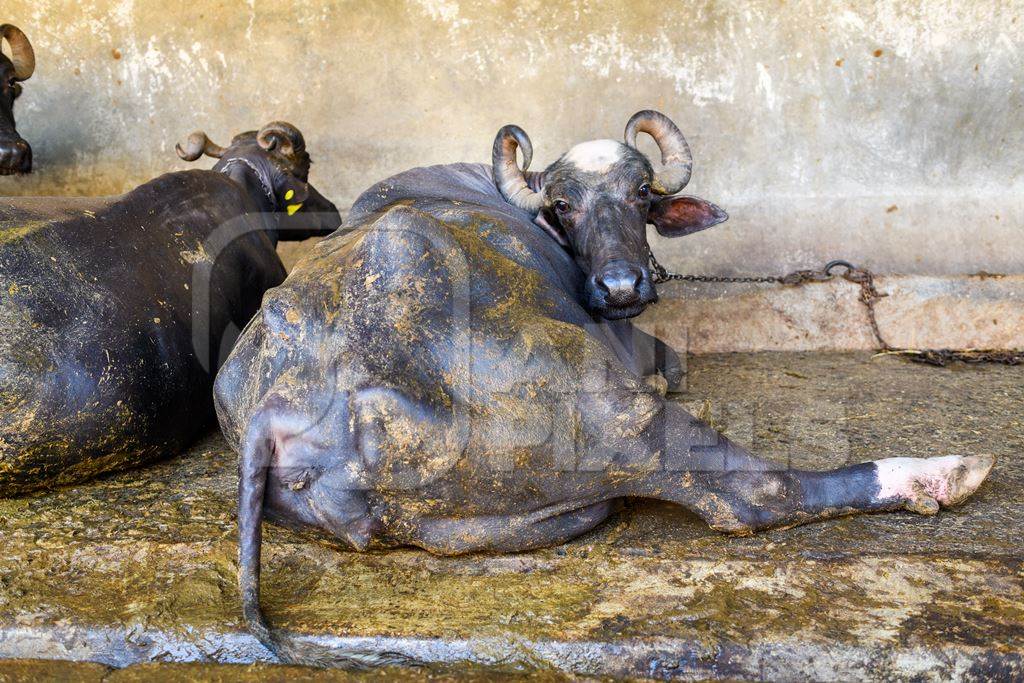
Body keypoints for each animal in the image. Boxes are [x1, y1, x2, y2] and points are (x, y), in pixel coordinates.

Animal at [216, 111, 991, 667]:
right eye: (563, 205)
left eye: (641, 193)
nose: (622, 286)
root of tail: (280, 395)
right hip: (618, 411)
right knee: (751, 492)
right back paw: (940, 472)